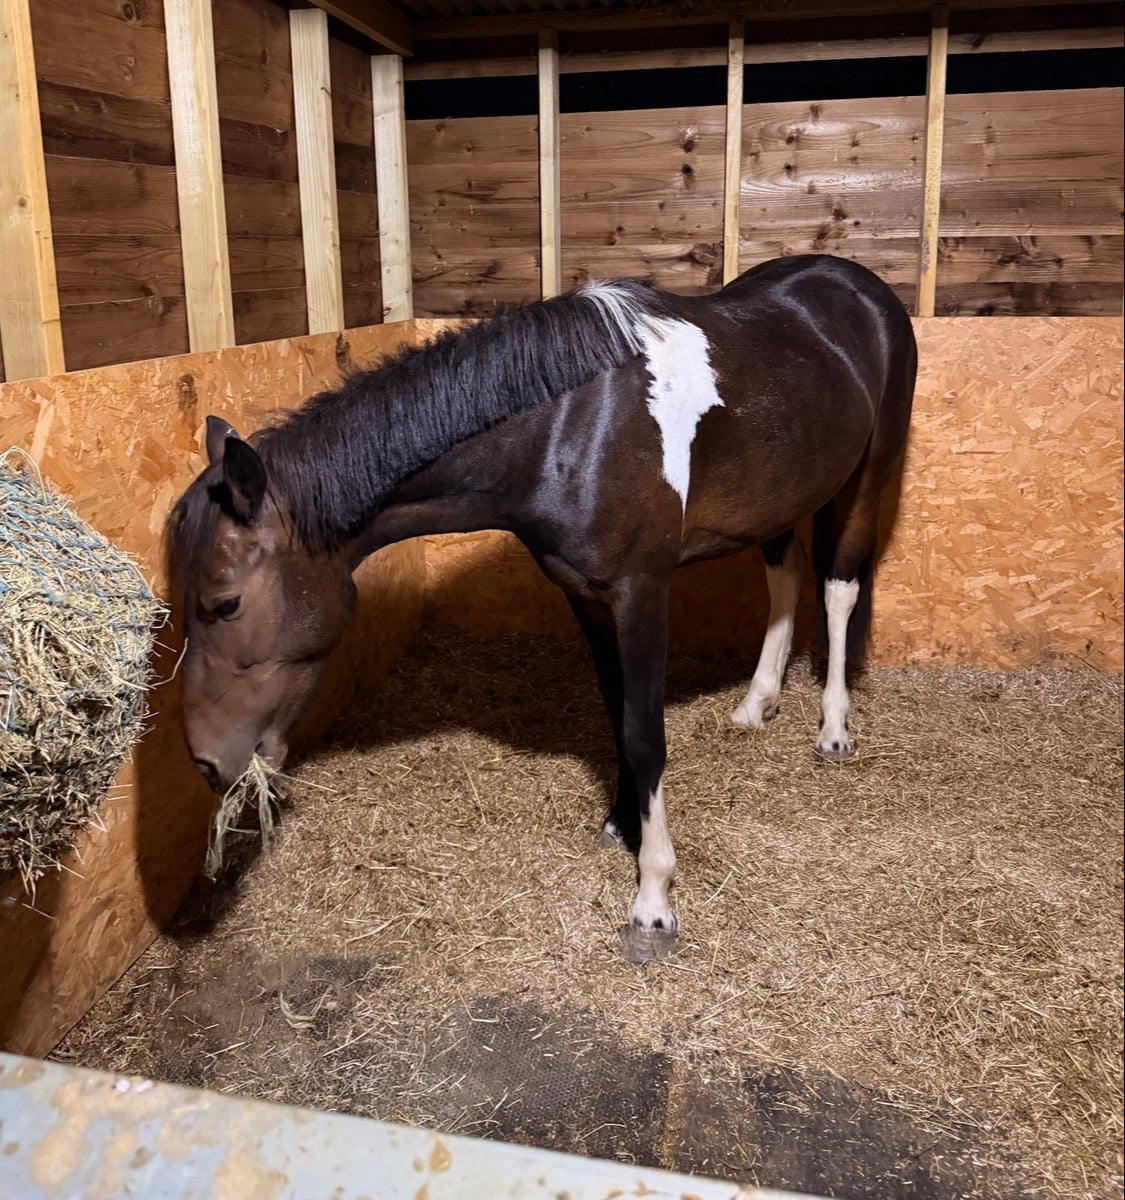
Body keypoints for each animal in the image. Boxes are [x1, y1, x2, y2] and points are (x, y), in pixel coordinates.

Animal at [169, 253, 917, 961]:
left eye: (225, 604)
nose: (205, 761)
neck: (567, 432)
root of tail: (856, 285)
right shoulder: (583, 593)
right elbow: (616, 710)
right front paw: (622, 821)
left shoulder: (641, 592)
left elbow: (644, 734)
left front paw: (653, 900)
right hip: (780, 498)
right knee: (785, 578)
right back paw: (759, 701)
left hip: (868, 477)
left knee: (838, 589)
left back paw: (833, 729)